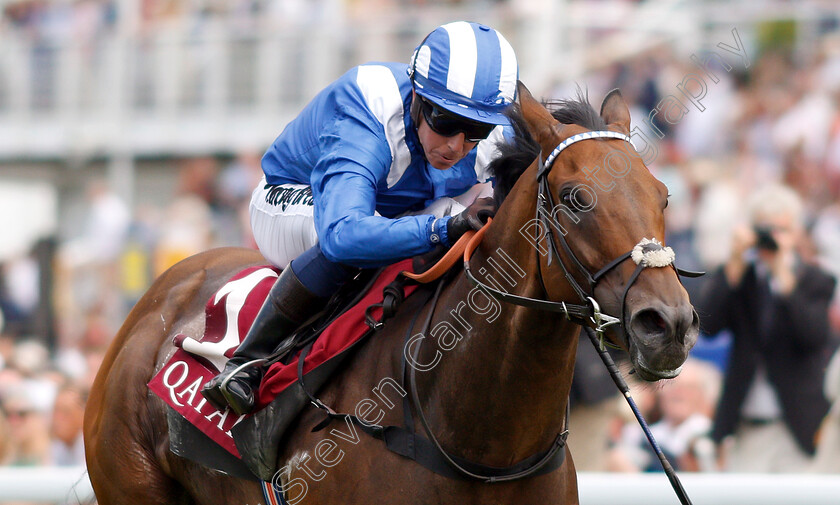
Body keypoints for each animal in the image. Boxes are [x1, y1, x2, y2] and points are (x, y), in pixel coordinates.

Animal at [82, 83, 700, 504]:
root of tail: (159, 296)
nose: (667, 324)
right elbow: (340, 233)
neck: (485, 447)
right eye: (574, 198)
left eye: (664, 196)